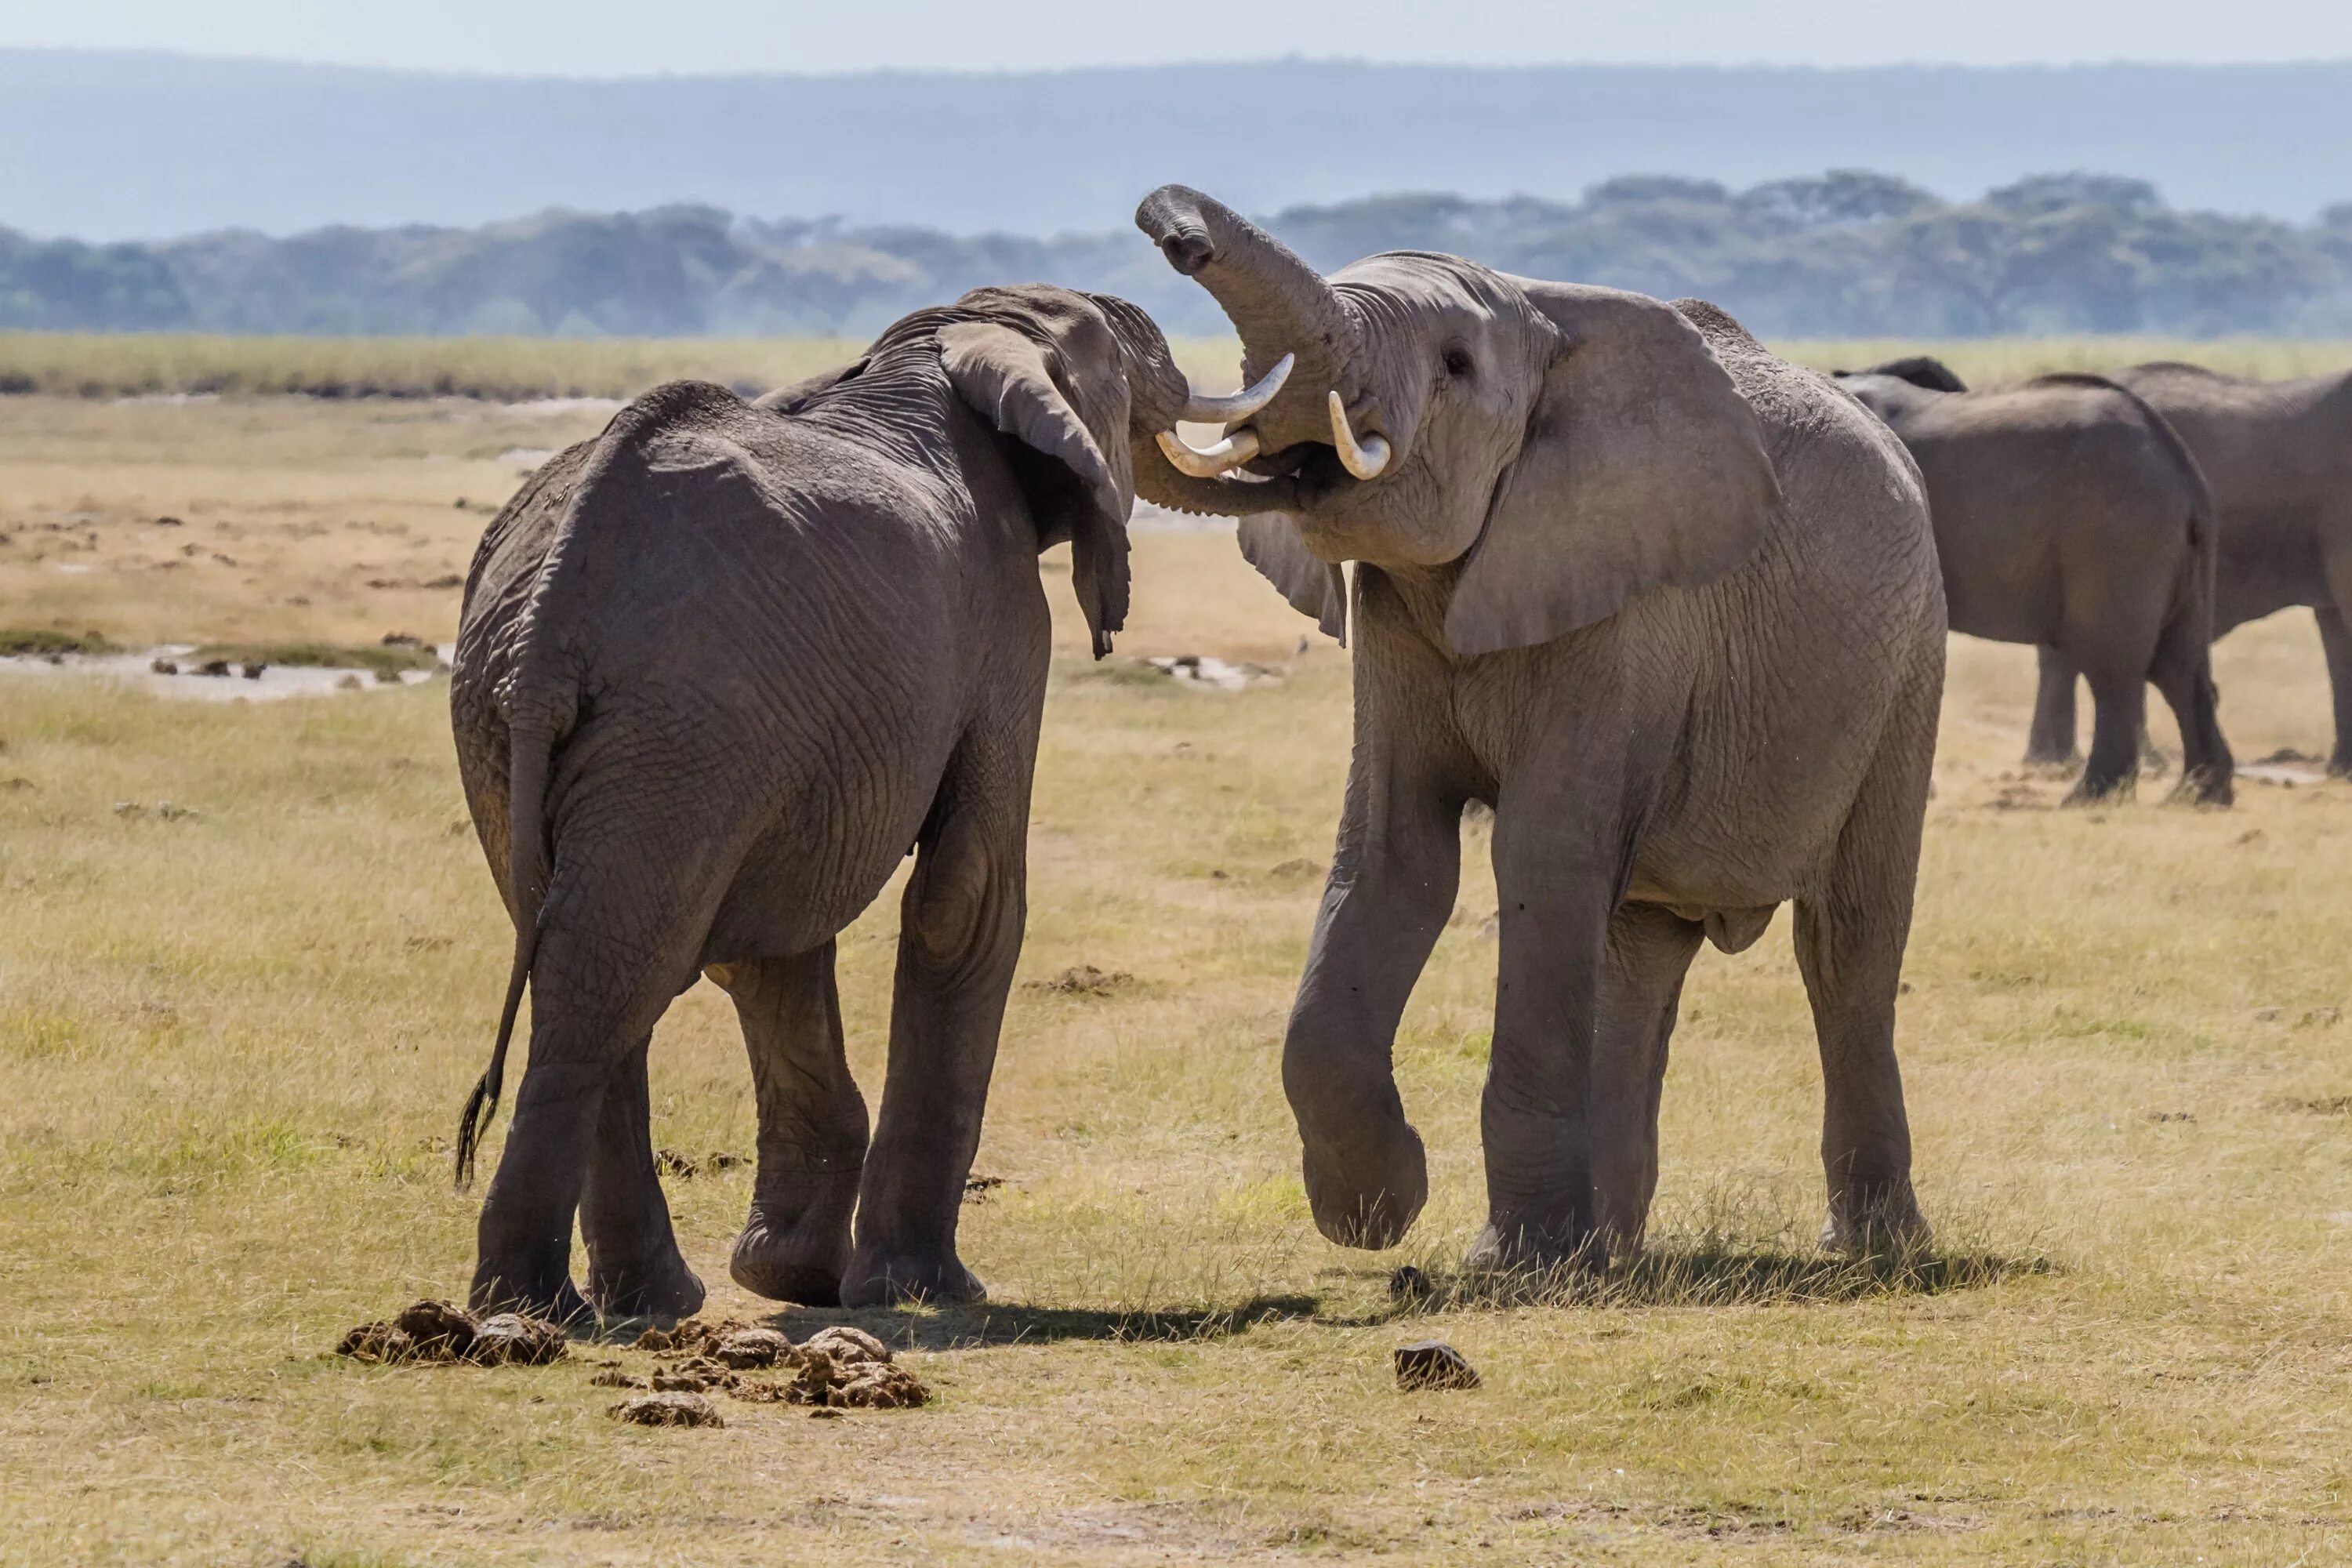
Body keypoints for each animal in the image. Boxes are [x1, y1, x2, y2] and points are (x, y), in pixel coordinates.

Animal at [442, 285, 1270, 1326]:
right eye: (1124, 364)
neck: (943, 341)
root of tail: (557, 599)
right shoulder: (1006, 623)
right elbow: (967, 896)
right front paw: (922, 1288)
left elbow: (776, 947)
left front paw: (790, 1277)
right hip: (684, 720)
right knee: (614, 967)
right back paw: (540, 1307)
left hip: (524, 712)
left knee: (590, 954)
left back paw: (636, 1303)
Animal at [1120, 184, 1947, 1269]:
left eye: (1456, 365)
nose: (1167, 220)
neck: (1539, 317)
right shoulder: (1392, 618)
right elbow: (1393, 856)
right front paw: (1381, 1211)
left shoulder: (1628, 612)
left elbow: (1540, 856)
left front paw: (1506, 1262)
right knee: (1639, 956)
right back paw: (1613, 1251)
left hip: (1906, 665)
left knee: (1847, 940)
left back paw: (1871, 1249)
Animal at [1825, 359, 2230, 804]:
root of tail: (2185, 474)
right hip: (2171, 550)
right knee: (2180, 667)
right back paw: (2200, 795)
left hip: (2115, 536)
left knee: (2114, 668)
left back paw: (2090, 796)